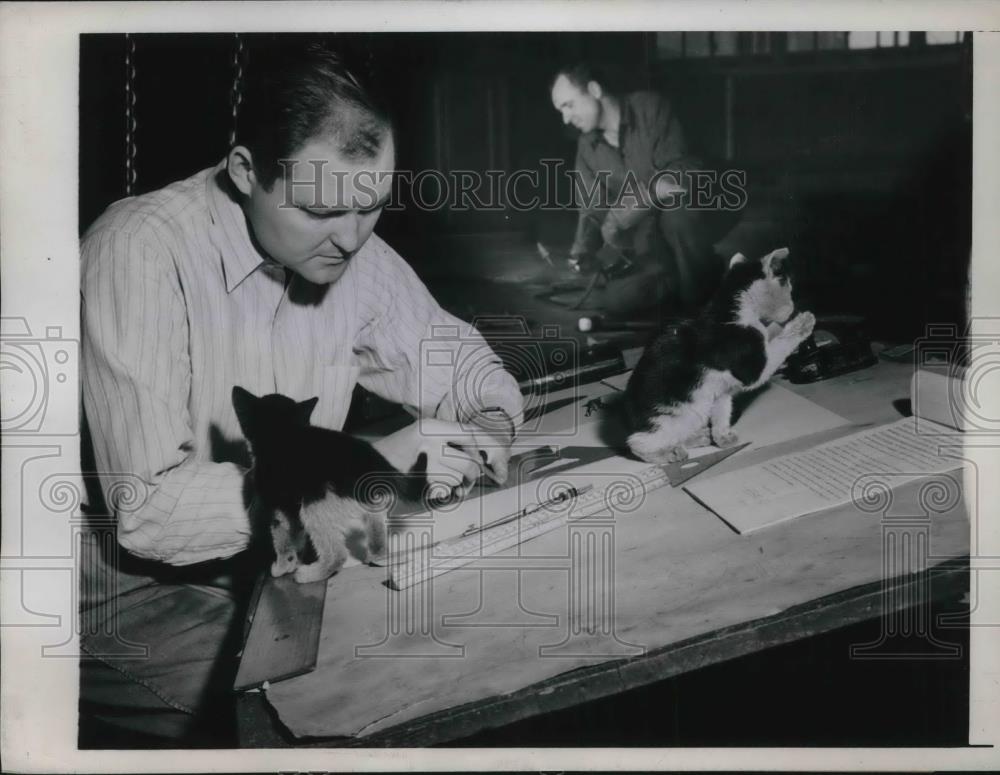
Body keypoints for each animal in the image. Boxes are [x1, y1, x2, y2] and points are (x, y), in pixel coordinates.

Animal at [232, 384, 428, 584]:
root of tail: (373, 463)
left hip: (315, 504)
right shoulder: (290, 506)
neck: (284, 431)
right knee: (377, 534)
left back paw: (311, 574)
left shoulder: (278, 503)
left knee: (338, 555)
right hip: (373, 500)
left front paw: (282, 566)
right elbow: (294, 533)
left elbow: (282, 537)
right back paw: (381, 558)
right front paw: (290, 562)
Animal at [628, 249, 816, 464]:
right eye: (789, 290)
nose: (793, 306)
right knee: (638, 444)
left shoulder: (721, 392)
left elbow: (722, 413)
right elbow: (776, 344)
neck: (731, 311)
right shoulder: (751, 366)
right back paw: (668, 452)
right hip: (671, 416)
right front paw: (802, 323)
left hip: (697, 410)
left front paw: (722, 436)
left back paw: (698, 437)